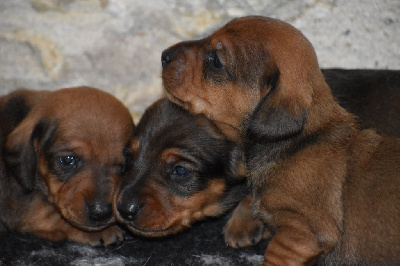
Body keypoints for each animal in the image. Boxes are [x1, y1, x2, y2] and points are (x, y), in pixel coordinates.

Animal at [0, 87, 135, 245]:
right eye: (67, 160)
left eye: (124, 164)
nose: (101, 212)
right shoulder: (20, 204)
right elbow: (52, 215)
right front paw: (105, 231)